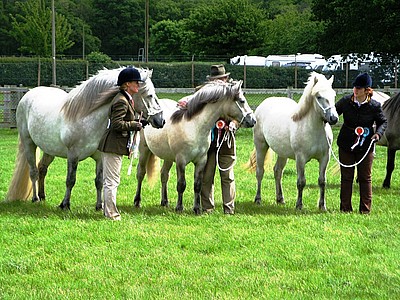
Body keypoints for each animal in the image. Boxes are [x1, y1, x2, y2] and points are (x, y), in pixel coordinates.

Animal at [5, 67, 164, 210]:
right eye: (150, 95)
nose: (161, 120)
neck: (85, 117)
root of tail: (28, 95)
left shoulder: (100, 157)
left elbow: (99, 181)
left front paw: (99, 206)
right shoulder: (73, 155)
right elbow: (70, 180)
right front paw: (65, 205)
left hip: (49, 149)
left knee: (42, 168)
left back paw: (43, 196)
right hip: (29, 143)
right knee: (33, 171)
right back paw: (36, 198)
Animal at [133, 81, 255, 214]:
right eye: (242, 101)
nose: (253, 120)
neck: (194, 127)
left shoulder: (201, 161)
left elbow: (197, 185)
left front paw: (197, 209)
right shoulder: (181, 161)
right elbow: (181, 184)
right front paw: (179, 208)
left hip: (168, 157)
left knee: (164, 175)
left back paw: (164, 201)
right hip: (144, 151)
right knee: (140, 173)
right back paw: (137, 201)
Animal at [250, 71, 338, 210]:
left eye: (334, 95)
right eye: (319, 96)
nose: (334, 118)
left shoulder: (325, 157)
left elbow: (322, 181)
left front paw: (322, 206)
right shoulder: (300, 158)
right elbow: (301, 182)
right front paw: (299, 205)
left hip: (282, 153)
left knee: (277, 171)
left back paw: (280, 199)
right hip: (261, 147)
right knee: (260, 172)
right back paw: (258, 199)